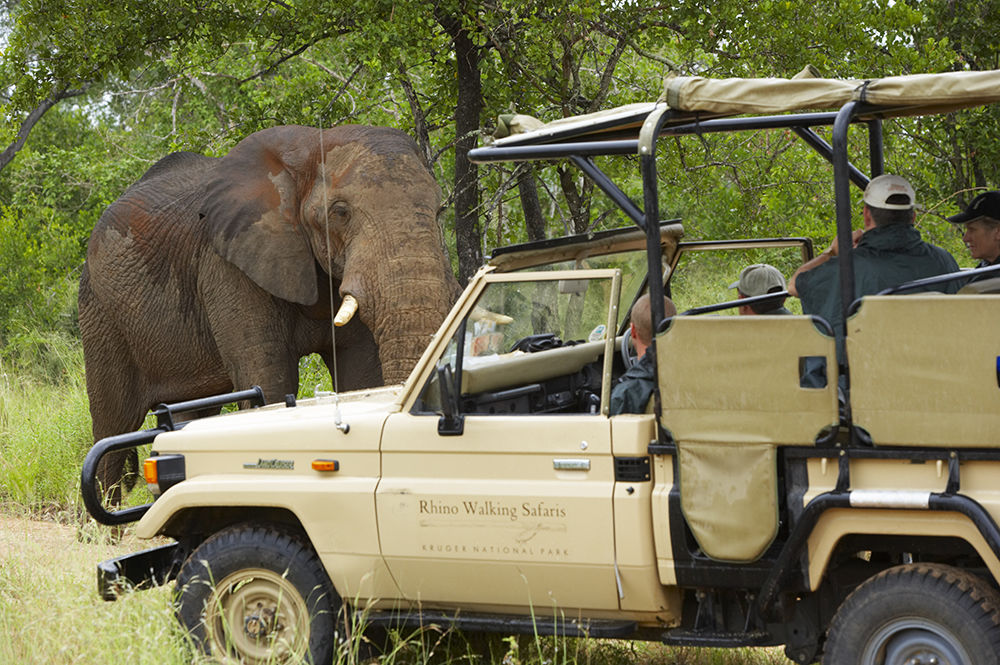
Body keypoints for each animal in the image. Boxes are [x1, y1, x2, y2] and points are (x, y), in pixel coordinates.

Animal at [80, 123, 458, 498]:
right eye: (340, 212)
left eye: (440, 210)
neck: (309, 150)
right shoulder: (227, 264)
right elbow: (269, 380)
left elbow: (361, 375)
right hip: (100, 313)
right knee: (112, 428)